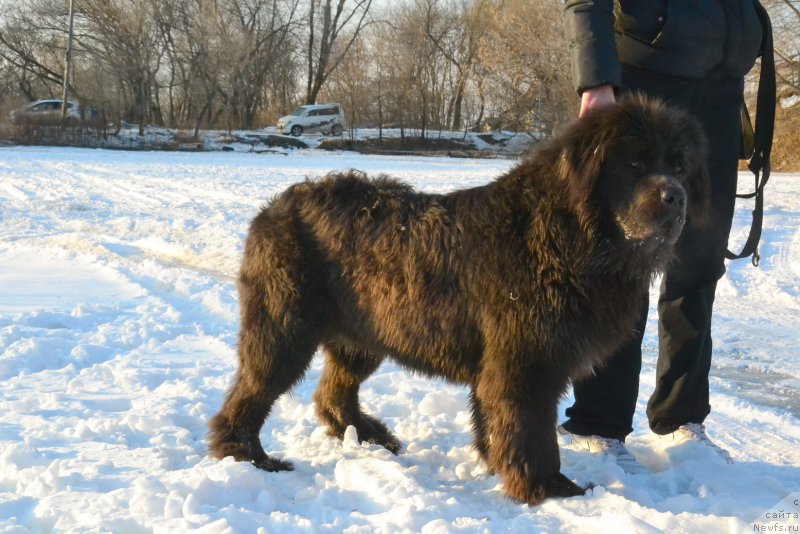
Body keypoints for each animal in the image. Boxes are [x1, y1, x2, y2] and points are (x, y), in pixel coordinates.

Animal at [209, 95, 708, 506]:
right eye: (635, 163)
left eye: (681, 167)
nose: (677, 197)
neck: (566, 235)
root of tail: (271, 209)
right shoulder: (525, 360)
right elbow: (530, 429)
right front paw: (546, 487)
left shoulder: (504, 361)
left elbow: (496, 421)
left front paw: (496, 463)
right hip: (283, 326)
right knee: (252, 391)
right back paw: (246, 455)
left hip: (362, 332)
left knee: (332, 392)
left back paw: (366, 435)